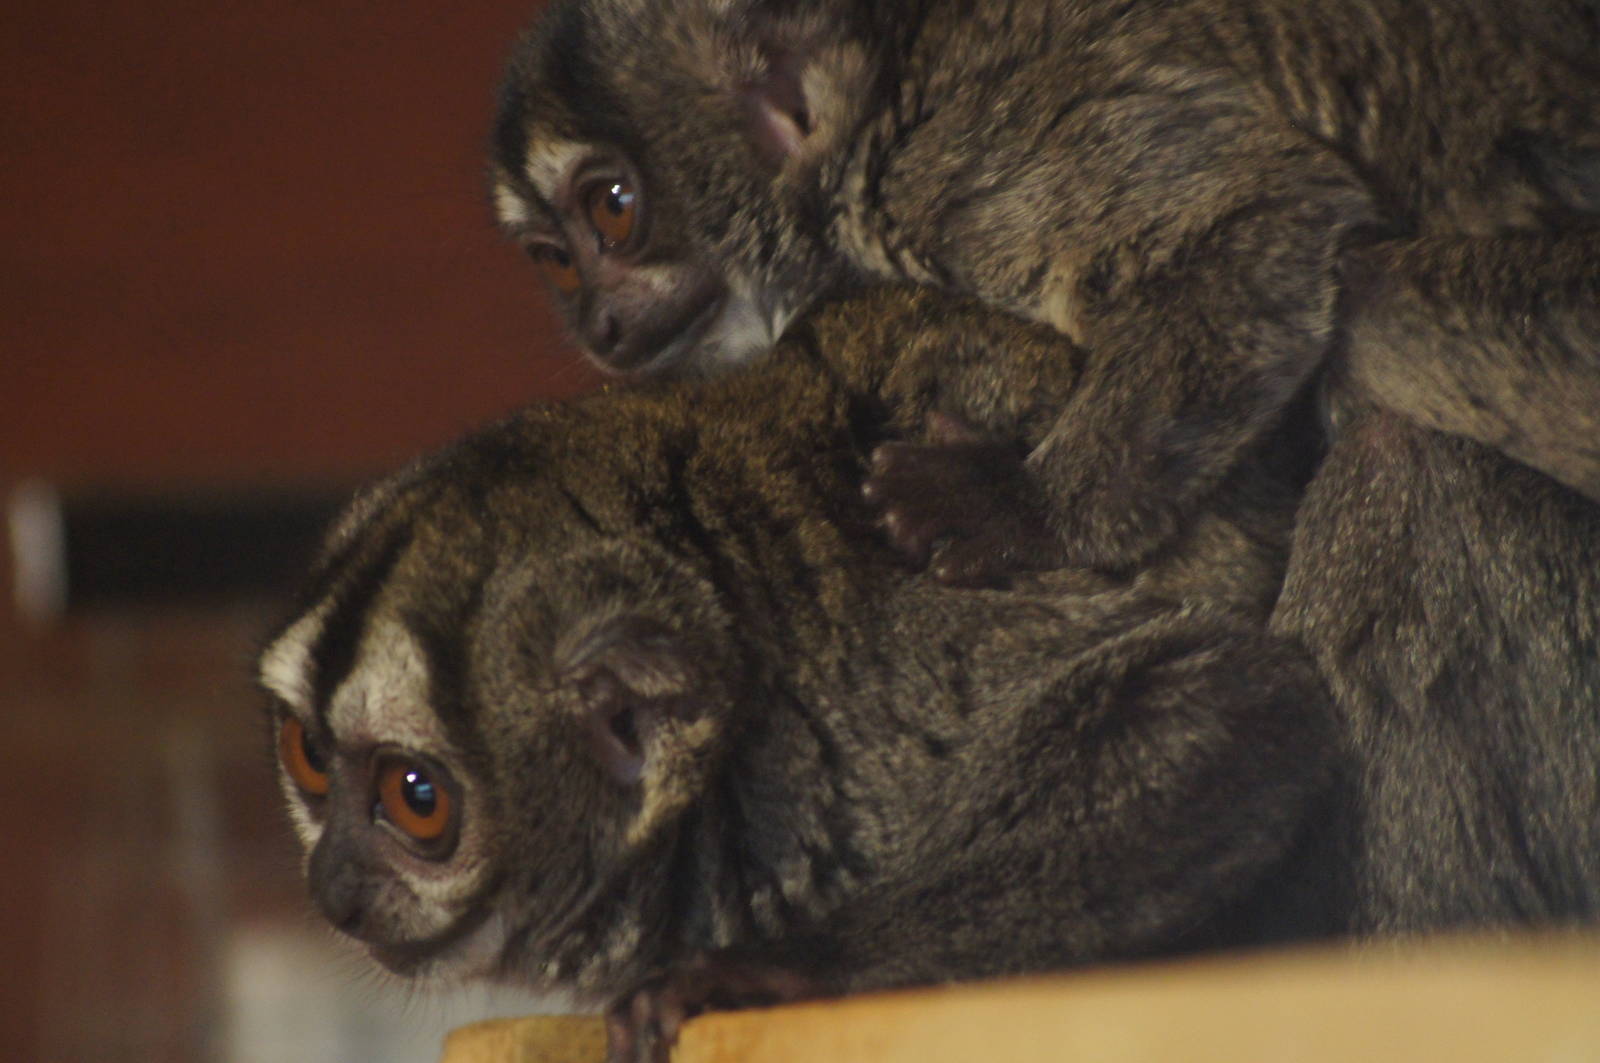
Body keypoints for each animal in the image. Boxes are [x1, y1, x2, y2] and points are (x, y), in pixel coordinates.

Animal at [258, 287, 1336, 1062]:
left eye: (416, 798)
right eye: (309, 758)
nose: (332, 885)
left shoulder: (901, 700)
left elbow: (1237, 711)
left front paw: (763, 971)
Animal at [489, 0, 1600, 580]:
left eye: (614, 209)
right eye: (554, 260)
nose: (601, 323)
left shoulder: (963, 164)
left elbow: (1268, 212)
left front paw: (1024, 510)